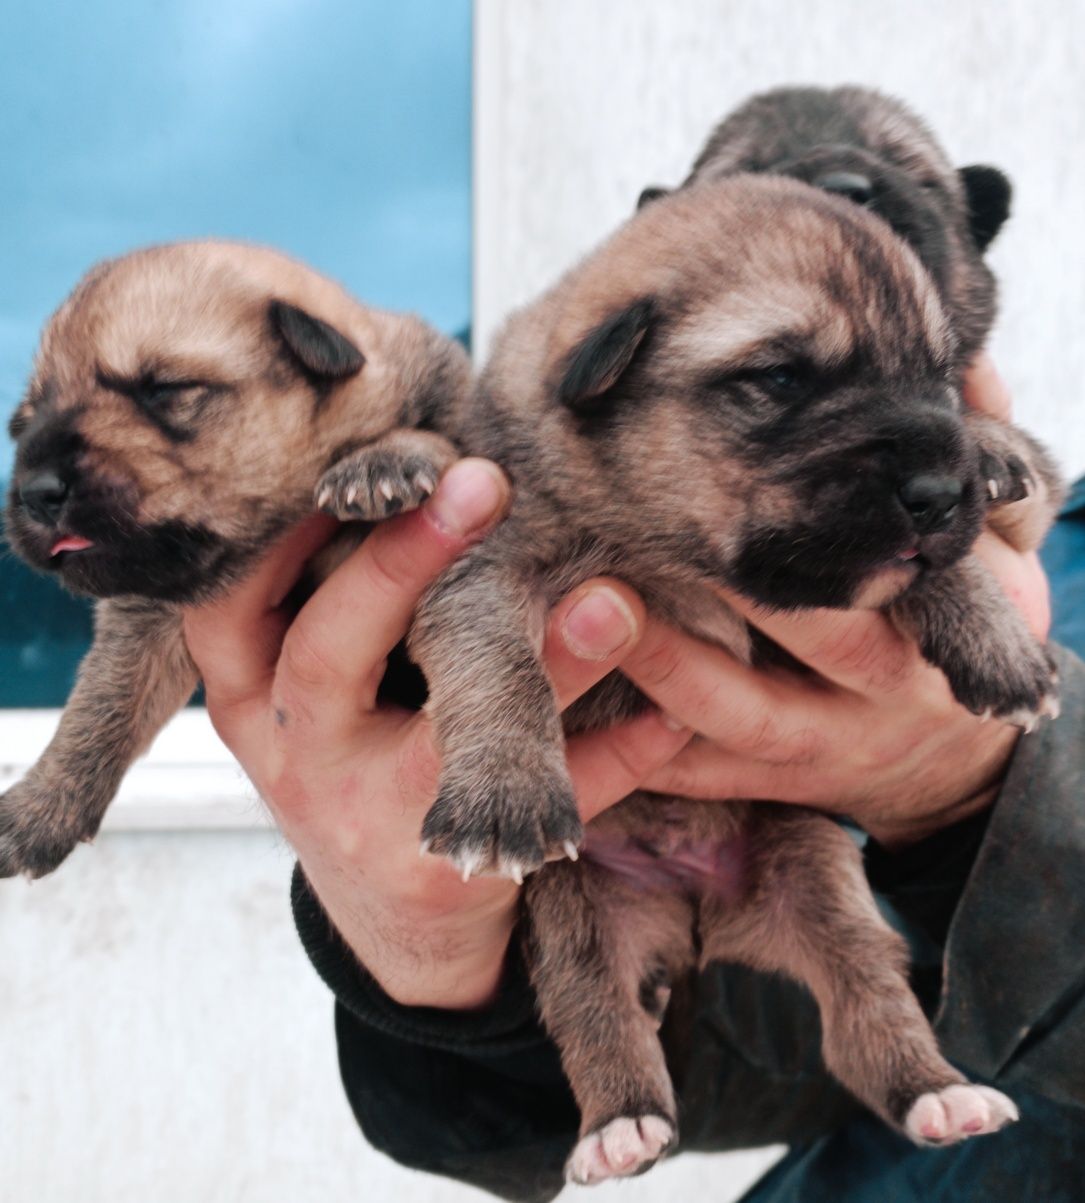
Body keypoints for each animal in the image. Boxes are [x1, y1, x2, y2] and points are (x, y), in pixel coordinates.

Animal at [1, 239, 466, 880]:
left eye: (165, 389)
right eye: (23, 423)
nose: (34, 491)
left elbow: (436, 434)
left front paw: (383, 459)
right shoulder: (148, 611)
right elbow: (104, 700)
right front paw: (39, 806)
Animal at [401, 174, 1063, 1178]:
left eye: (940, 378)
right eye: (781, 377)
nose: (940, 493)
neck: (665, 538)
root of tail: (695, 913)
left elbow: (934, 564)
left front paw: (996, 631)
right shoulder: (488, 554)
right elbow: (493, 652)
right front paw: (504, 790)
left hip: (817, 879)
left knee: (864, 1005)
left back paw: (935, 1091)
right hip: (574, 905)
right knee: (592, 1005)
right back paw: (621, 1121)